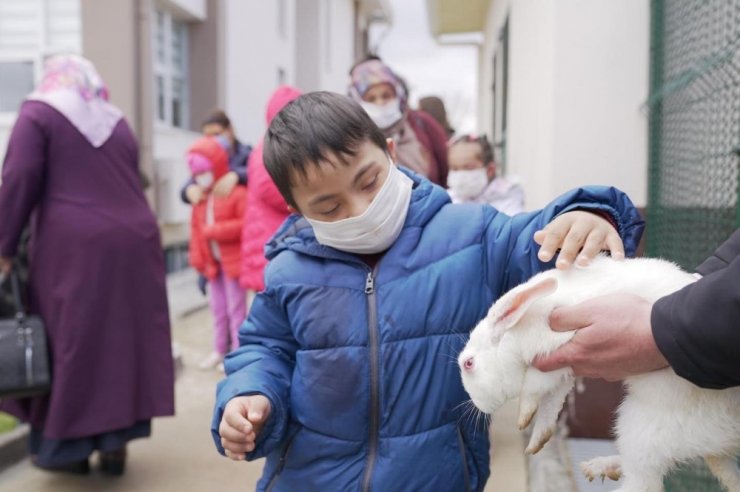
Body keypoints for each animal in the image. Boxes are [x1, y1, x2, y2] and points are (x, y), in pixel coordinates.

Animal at [456, 258, 740, 492]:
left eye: (468, 363)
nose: (478, 406)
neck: (519, 329)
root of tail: (721, 445)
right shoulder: (565, 368)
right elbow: (550, 405)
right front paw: (536, 439)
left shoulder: (558, 350)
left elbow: (533, 386)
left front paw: (523, 414)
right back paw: (602, 466)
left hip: (639, 429)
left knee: (643, 484)